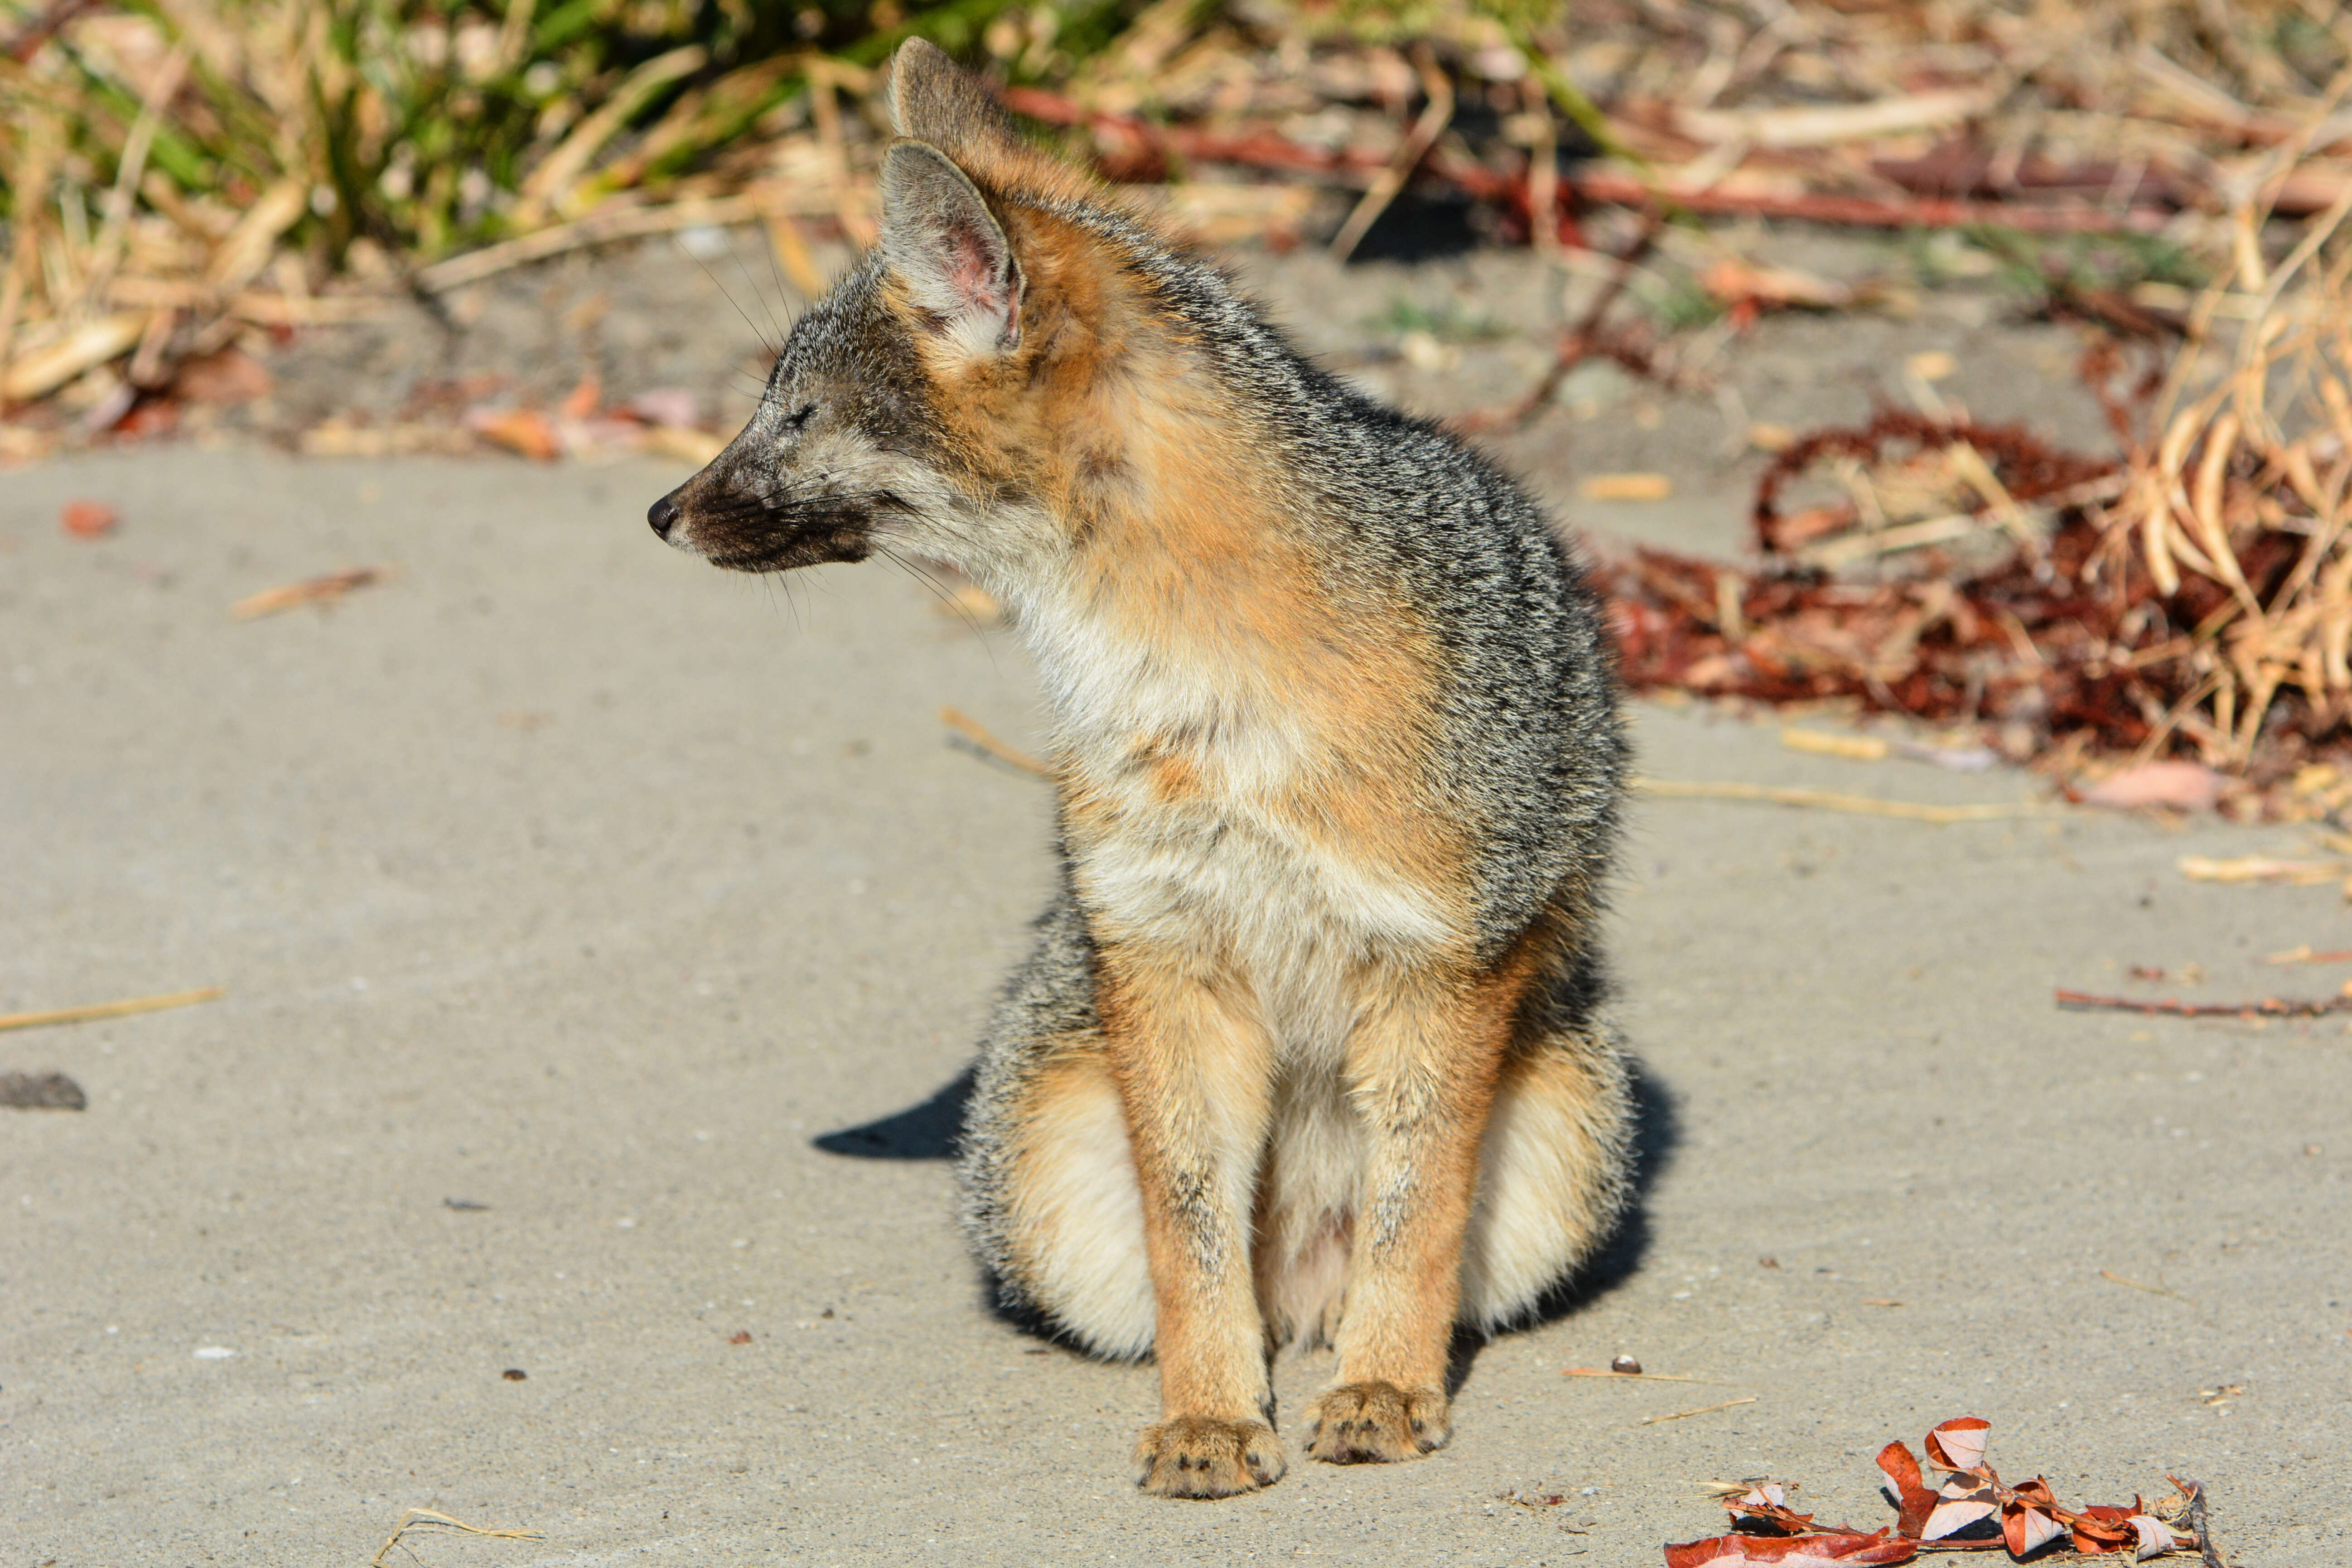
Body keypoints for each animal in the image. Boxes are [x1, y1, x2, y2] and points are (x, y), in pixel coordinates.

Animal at [649, 43, 1637, 1504]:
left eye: (798, 414)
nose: (662, 510)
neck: (1205, 700)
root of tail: (1304, 1288)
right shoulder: (1157, 951)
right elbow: (1188, 1228)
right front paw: (1212, 1412)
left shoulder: (1445, 960)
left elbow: (1412, 1214)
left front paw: (1385, 1386)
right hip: (1044, 1165)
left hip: (1566, 1131)